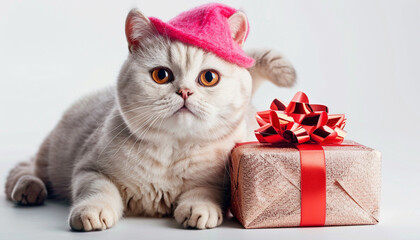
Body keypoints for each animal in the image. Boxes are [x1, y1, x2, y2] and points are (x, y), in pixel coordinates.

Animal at [4, 6, 296, 231]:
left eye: (209, 77)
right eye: (161, 75)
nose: (185, 92)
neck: (171, 150)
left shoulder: (220, 179)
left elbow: (205, 191)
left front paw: (199, 209)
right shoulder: (90, 168)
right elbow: (98, 190)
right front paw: (92, 212)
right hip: (50, 154)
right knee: (25, 169)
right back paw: (28, 189)